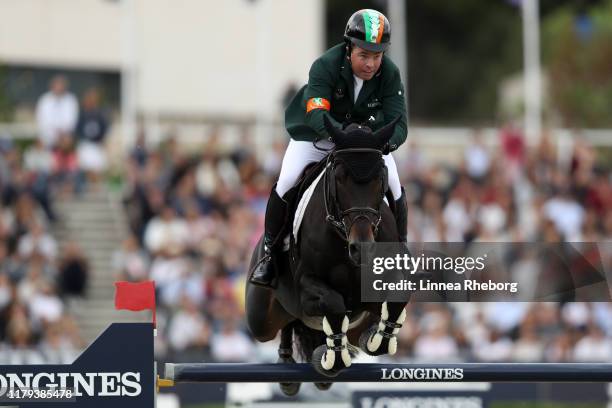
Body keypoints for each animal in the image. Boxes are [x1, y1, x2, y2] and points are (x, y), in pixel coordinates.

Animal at [246, 117, 408, 396]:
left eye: (380, 179)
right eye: (339, 179)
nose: (362, 248)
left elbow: (396, 298)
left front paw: (375, 338)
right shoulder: (307, 288)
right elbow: (333, 304)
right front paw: (331, 358)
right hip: (261, 319)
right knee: (284, 324)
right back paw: (288, 369)